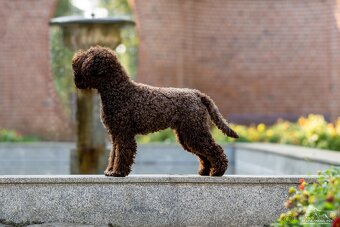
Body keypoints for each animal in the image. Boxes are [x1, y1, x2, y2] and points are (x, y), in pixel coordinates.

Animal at [71, 46, 238, 177]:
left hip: (195, 131)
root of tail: (197, 94)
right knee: (204, 154)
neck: (118, 90)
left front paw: (118, 172)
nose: (75, 57)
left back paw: (218, 171)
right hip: (187, 134)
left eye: (87, 55)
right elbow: (114, 154)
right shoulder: (115, 134)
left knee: (215, 149)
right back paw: (204, 171)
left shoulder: (124, 133)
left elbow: (122, 153)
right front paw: (110, 170)